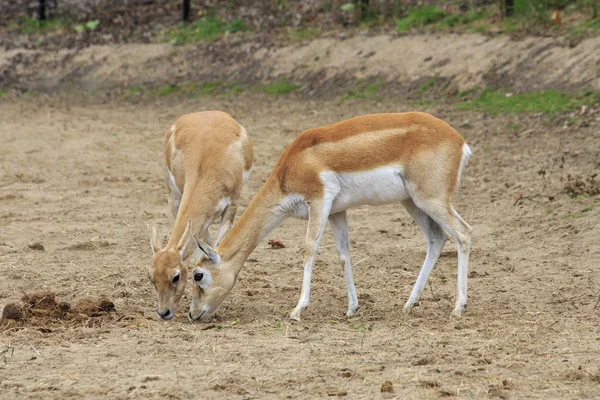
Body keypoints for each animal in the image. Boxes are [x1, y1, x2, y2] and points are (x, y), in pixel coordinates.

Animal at [151, 111, 254, 320]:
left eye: (175, 276)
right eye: (151, 277)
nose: (164, 312)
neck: (204, 167)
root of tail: (206, 113)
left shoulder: (231, 205)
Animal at [185, 111, 472, 322]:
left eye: (198, 275)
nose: (192, 314)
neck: (291, 166)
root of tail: (460, 142)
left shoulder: (320, 201)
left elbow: (309, 249)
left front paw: (298, 310)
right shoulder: (337, 211)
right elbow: (343, 254)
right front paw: (352, 308)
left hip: (429, 199)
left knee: (464, 233)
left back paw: (458, 307)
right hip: (412, 202)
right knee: (437, 238)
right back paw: (410, 304)